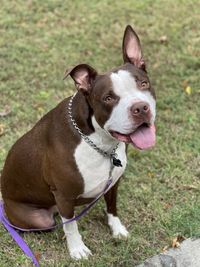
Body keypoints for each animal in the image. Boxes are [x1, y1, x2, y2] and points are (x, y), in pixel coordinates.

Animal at [0, 25, 156, 260]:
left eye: (143, 84)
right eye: (108, 98)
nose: (140, 108)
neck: (99, 141)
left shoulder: (114, 182)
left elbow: (112, 207)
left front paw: (117, 229)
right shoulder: (64, 196)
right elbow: (71, 227)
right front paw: (77, 249)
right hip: (38, 219)